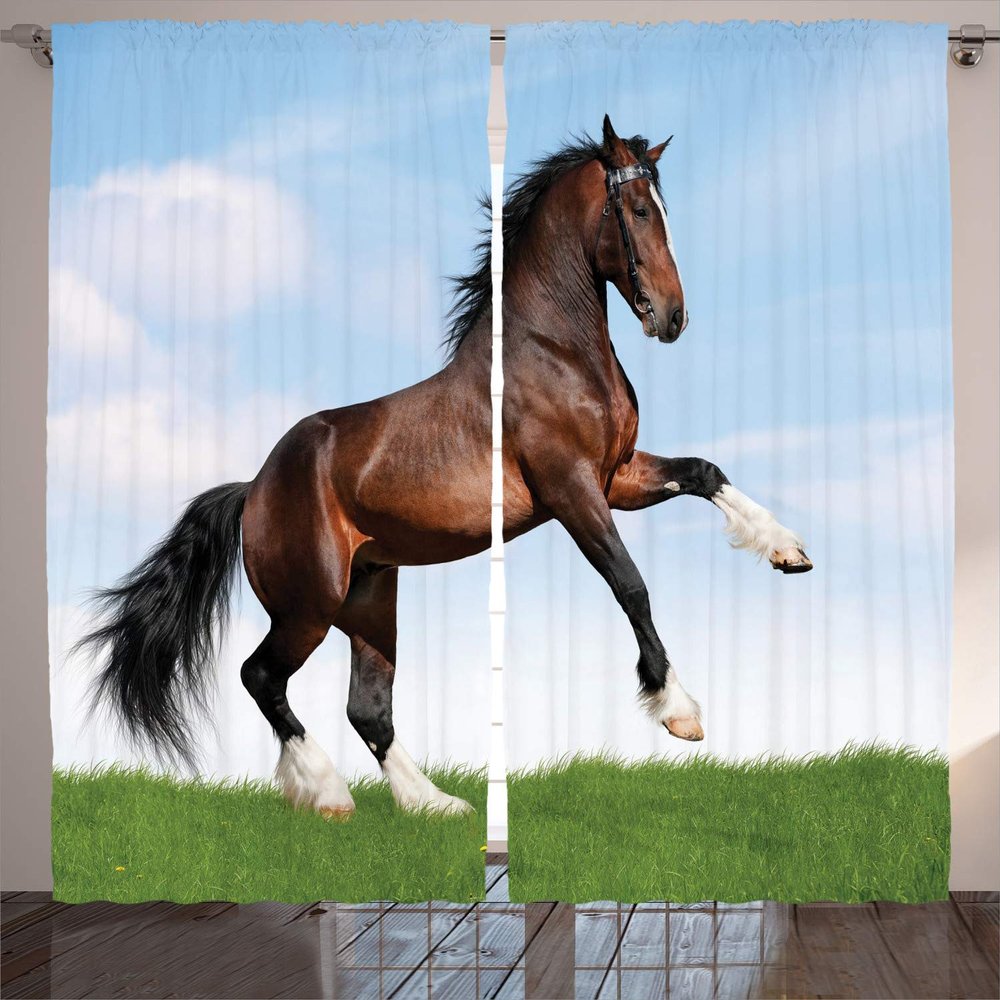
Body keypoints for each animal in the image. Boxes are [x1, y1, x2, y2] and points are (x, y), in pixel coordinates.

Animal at [78, 115, 810, 820]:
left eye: (662, 206)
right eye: (635, 209)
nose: (672, 316)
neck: (555, 352)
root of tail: (253, 489)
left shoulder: (618, 476)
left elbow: (705, 473)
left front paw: (788, 552)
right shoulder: (573, 490)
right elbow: (631, 586)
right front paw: (679, 711)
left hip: (371, 599)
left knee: (367, 708)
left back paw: (433, 804)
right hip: (309, 605)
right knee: (261, 678)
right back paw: (327, 793)